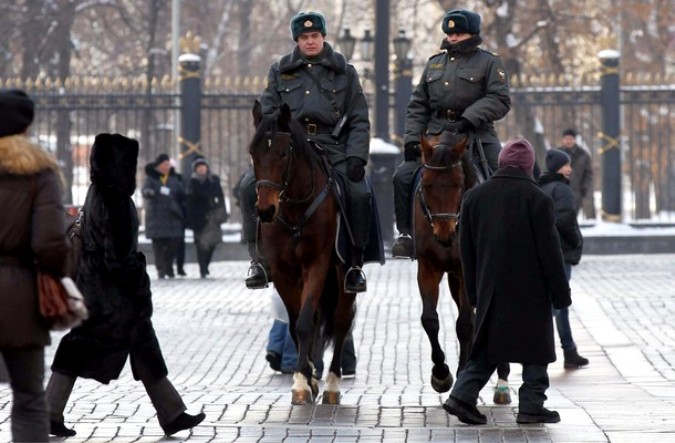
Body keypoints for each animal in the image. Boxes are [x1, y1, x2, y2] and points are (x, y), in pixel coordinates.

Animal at [247, 100, 354, 406]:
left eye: (284, 154)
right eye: (253, 152)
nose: (265, 210)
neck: (295, 208)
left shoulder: (317, 264)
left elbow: (306, 323)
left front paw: (304, 382)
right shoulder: (282, 272)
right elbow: (297, 324)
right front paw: (304, 378)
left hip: (342, 275)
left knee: (341, 322)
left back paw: (332, 384)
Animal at [412, 132, 480, 392]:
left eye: (458, 184)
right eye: (427, 184)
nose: (444, 234)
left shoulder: (467, 270)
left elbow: (465, 324)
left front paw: (461, 373)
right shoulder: (427, 268)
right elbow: (430, 320)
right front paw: (441, 373)